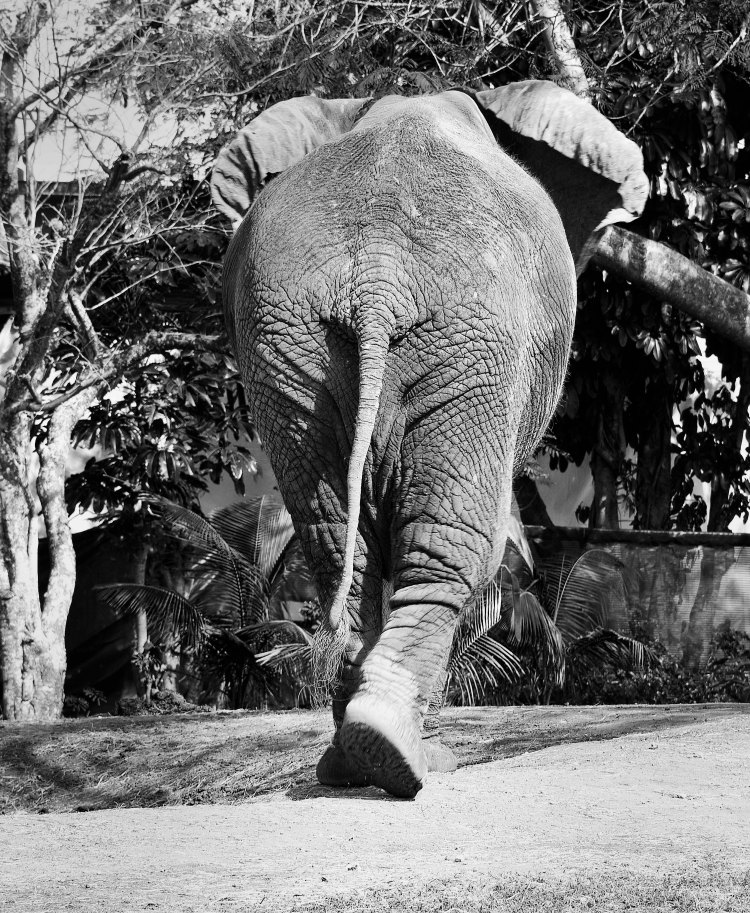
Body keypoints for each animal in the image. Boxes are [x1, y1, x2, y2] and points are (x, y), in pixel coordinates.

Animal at [210, 81, 648, 798]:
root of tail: (377, 274)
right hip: (477, 338)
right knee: (451, 545)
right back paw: (409, 757)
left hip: (289, 342)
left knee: (337, 545)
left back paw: (354, 761)